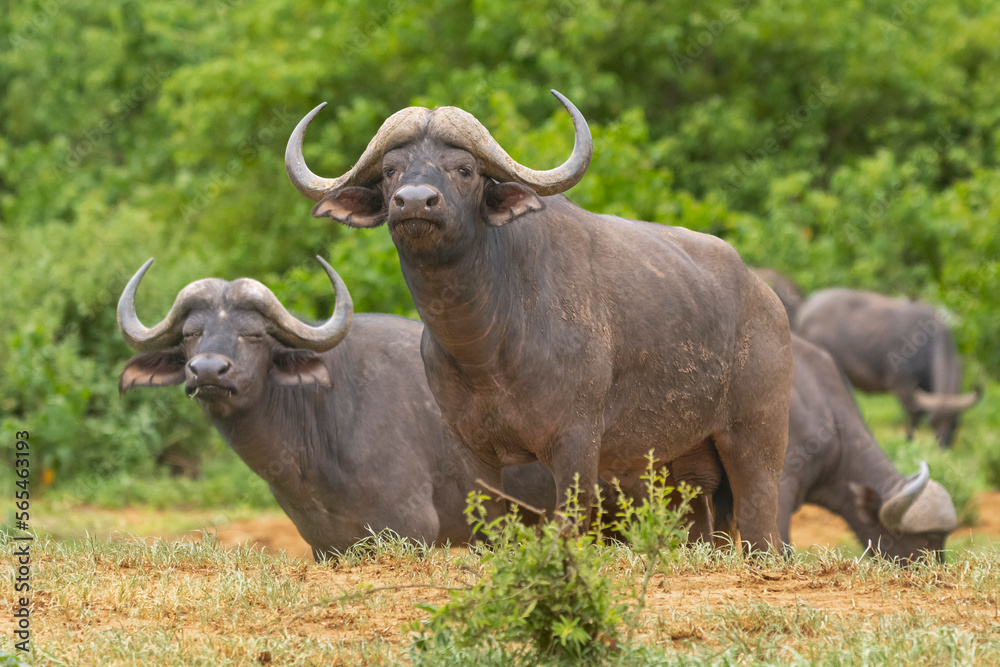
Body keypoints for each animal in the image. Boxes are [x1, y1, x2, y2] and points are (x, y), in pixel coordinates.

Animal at [286, 92, 792, 552]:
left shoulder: (576, 444)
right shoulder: (468, 447)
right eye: (392, 170)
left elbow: (568, 523)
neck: (487, 346)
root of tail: (767, 301)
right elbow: (489, 527)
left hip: (757, 440)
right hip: (684, 459)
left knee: (761, 526)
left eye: (464, 169)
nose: (414, 202)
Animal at [792, 288, 980, 448]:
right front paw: (909, 443)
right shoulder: (902, 386)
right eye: (933, 422)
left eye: (955, 423)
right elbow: (914, 415)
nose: (942, 447)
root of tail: (806, 308)